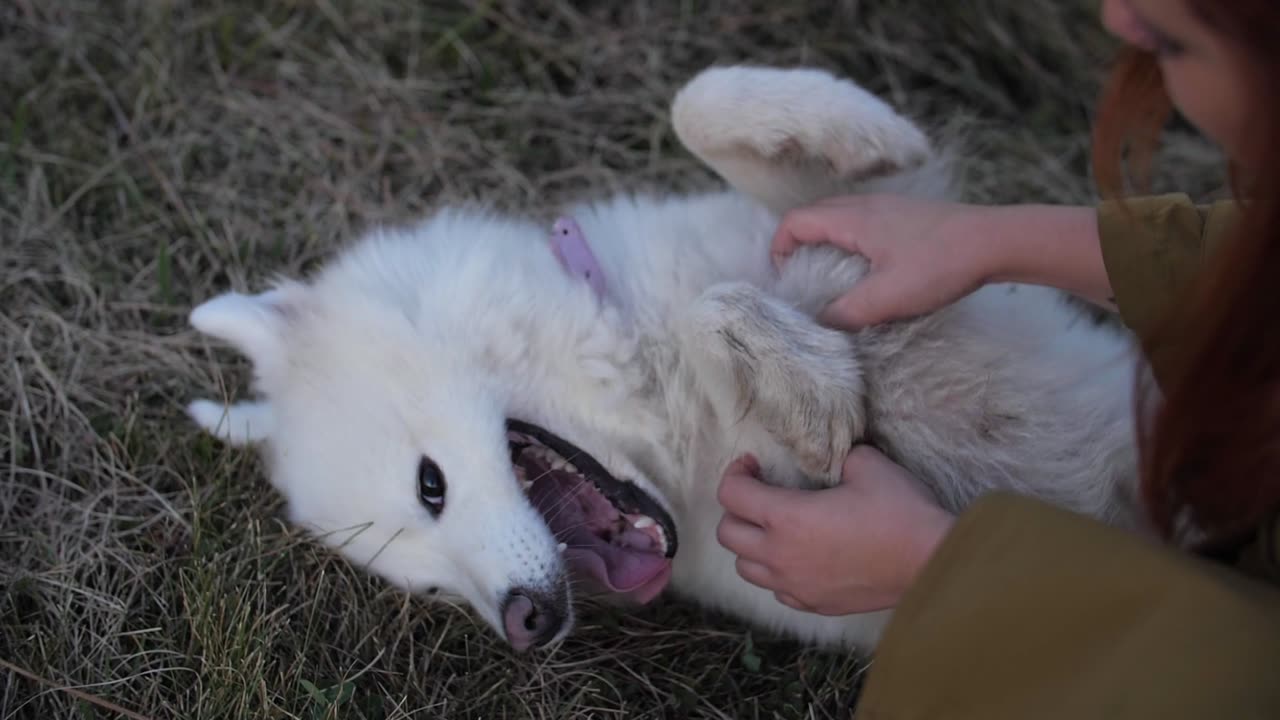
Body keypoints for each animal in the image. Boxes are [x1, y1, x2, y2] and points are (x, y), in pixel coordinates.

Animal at [185, 65, 1146, 650]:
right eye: (427, 588)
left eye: (431, 485)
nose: (525, 625)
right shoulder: (802, 485)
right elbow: (725, 320)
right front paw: (811, 377)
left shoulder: (887, 227)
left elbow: (701, 105)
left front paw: (864, 127)